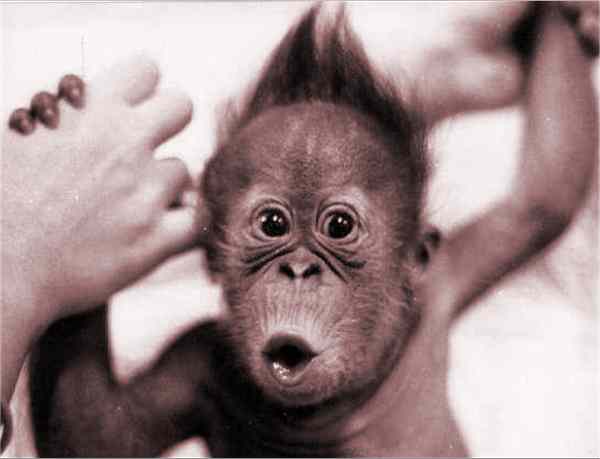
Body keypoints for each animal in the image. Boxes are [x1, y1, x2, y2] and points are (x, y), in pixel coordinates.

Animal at [10, 3, 597, 457]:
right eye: (273, 225)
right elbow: (98, 432)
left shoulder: (444, 283)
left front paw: (552, 14)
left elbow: (542, 198)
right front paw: (60, 134)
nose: (298, 268)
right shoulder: (194, 357)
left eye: (338, 226)